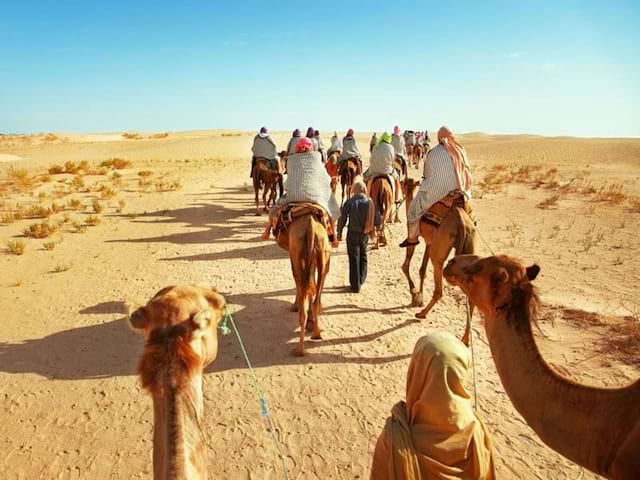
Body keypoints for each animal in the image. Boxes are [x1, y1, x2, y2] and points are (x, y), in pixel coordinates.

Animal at [276, 211, 330, 356]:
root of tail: (311, 226)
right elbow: (311, 287)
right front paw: (311, 323)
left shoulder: (293, 255)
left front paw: (294, 306)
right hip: (323, 253)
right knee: (317, 290)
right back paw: (316, 334)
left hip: (297, 251)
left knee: (299, 282)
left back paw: (299, 349)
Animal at [400, 177, 476, 326]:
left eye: (404, 184)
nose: (402, 188)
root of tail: (461, 222)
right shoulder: (429, 243)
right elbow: (422, 270)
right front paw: (419, 297)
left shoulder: (415, 236)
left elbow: (405, 266)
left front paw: (415, 294)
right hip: (469, 242)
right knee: (471, 299)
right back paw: (466, 333)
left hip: (439, 250)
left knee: (439, 289)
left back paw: (421, 314)